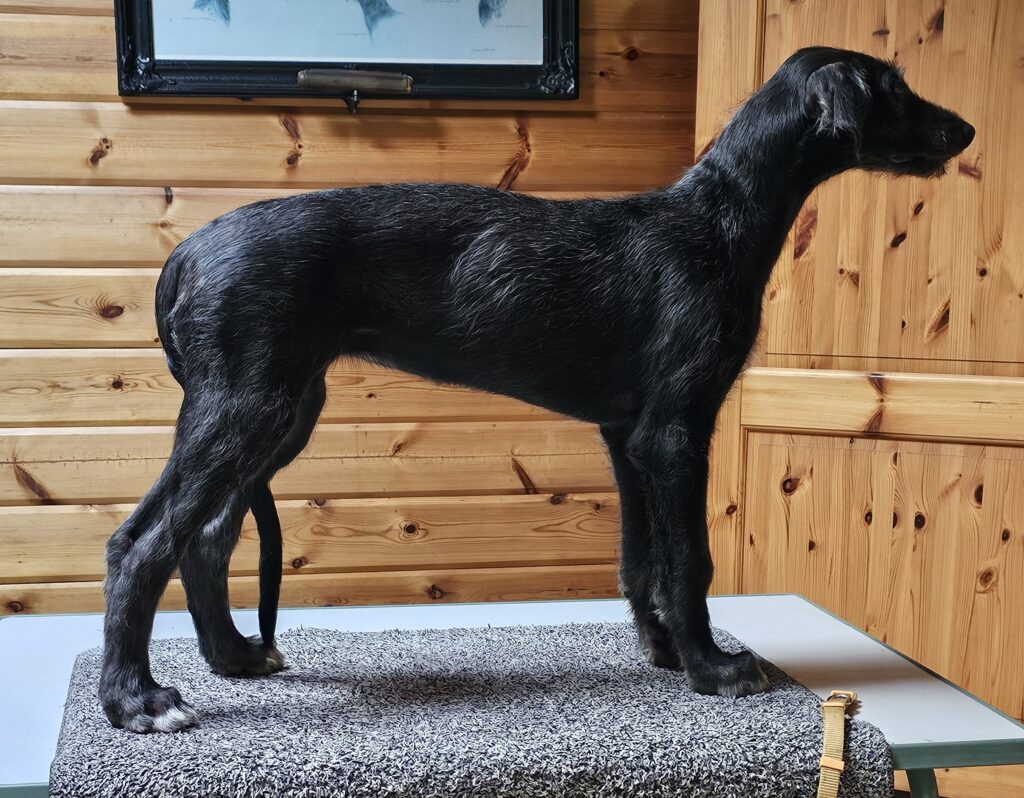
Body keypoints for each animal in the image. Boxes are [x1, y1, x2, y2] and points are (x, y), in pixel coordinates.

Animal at [99, 46, 974, 732]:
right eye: (895, 88)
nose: (965, 132)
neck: (717, 220)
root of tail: (187, 252)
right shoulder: (676, 431)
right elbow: (689, 560)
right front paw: (712, 667)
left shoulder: (628, 435)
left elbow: (641, 560)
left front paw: (661, 651)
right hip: (245, 408)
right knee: (141, 542)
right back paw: (137, 699)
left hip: (283, 410)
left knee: (206, 537)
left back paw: (232, 656)